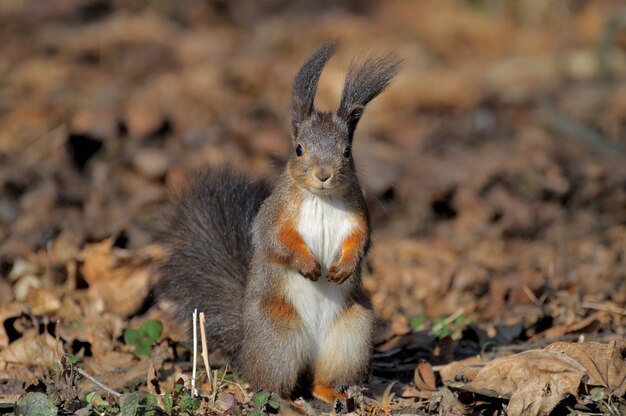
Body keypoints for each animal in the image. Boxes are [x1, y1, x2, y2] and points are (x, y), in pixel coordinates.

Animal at [157, 42, 400, 404]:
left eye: (346, 152)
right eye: (298, 149)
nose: (324, 174)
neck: (321, 199)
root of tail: (246, 349)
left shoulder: (358, 216)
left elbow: (361, 241)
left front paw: (343, 268)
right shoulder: (275, 215)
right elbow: (275, 240)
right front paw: (309, 265)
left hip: (351, 335)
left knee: (317, 380)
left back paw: (331, 393)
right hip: (278, 337)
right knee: (274, 385)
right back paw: (289, 402)